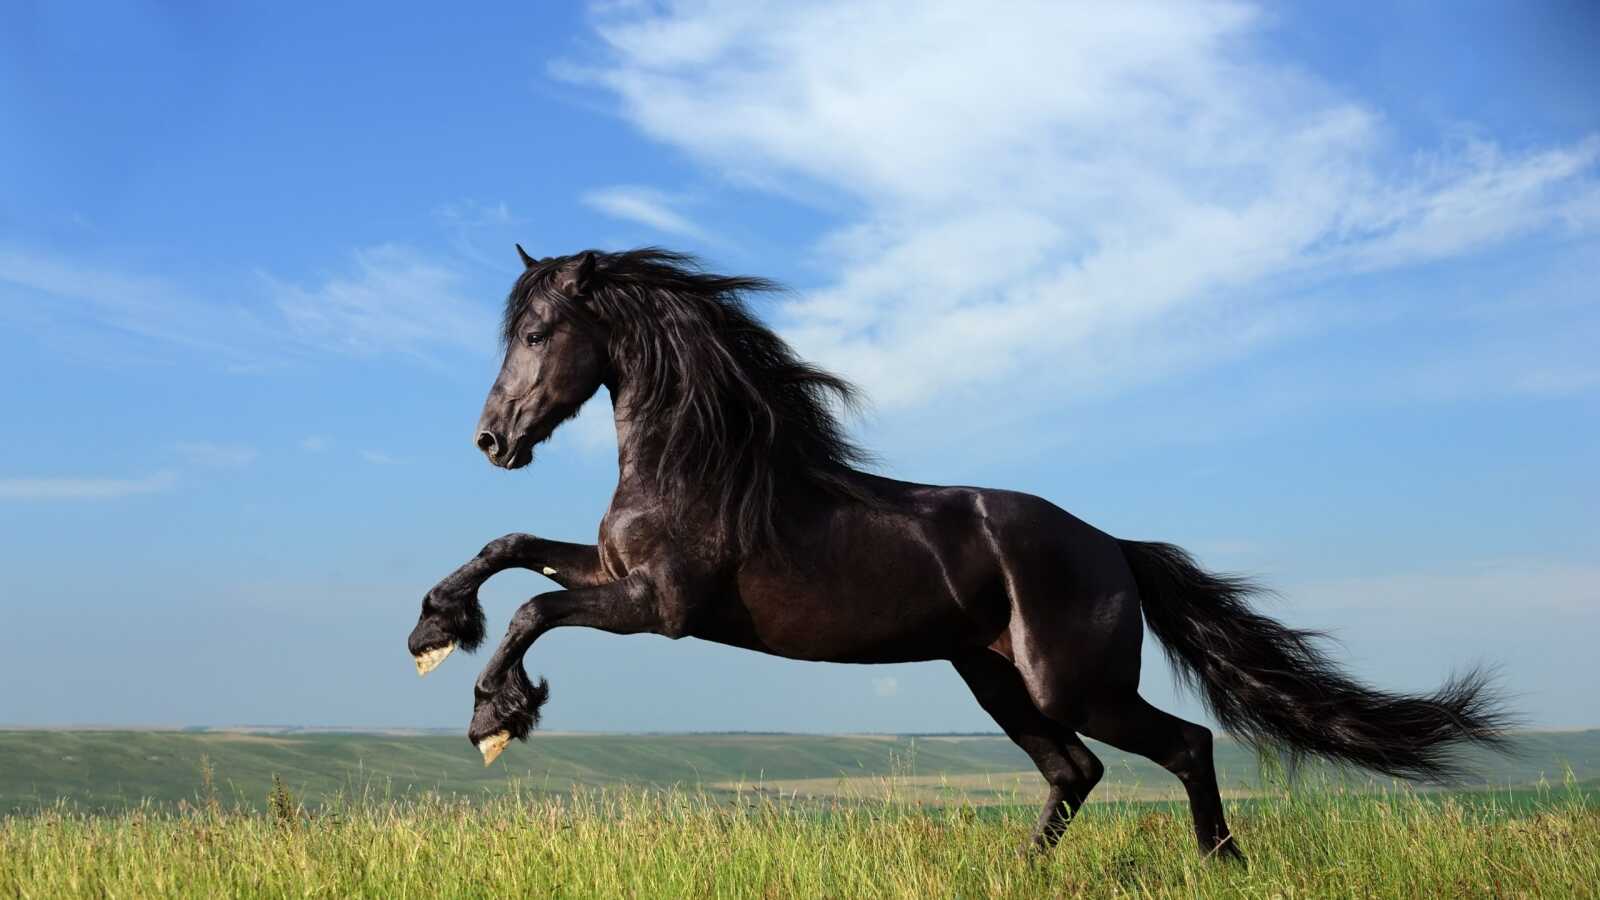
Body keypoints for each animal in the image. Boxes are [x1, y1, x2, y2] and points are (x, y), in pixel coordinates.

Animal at [407, 246, 1508, 861]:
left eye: (539, 333)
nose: (493, 440)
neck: (701, 465)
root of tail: (1115, 548)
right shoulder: (614, 573)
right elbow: (510, 548)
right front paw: (433, 630)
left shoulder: (660, 607)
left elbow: (534, 608)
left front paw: (495, 715)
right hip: (993, 678)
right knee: (1074, 772)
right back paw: (1024, 874)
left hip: (1073, 683)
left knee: (1181, 746)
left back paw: (1223, 864)